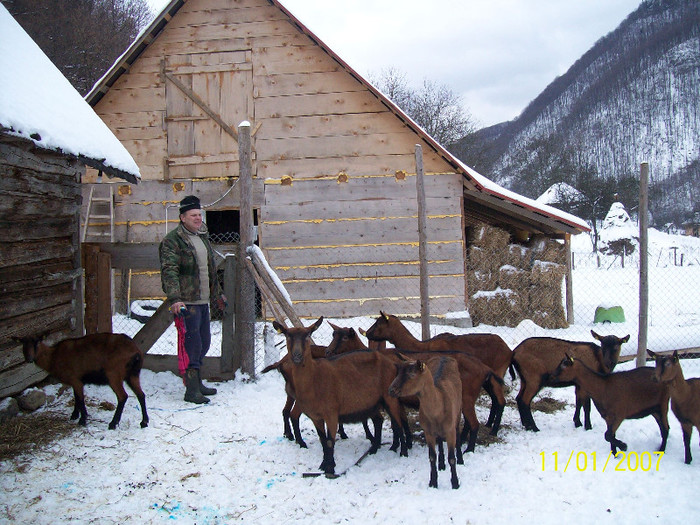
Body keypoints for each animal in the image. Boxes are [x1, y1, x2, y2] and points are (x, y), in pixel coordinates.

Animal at [14, 332, 148, 430]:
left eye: (37, 342)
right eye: (23, 344)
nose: (29, 359)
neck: (53, 356)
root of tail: (135, 352)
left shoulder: (75, 379)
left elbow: (80, 399)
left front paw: (82, 420)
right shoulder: (76, 381)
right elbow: (76, 398)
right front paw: (74, 415)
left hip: (114, 374)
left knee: (122, 396)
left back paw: (113, 424)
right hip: (133, 375)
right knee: (141, 395)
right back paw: (144, 422)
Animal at [272, 316, 408, 474]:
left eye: (308, 335)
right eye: (287, 335)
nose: (297, 356)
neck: (315, 379)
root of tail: (393, 364)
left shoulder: (331, 412)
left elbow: (330, 441)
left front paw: (330, 469)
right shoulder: (316, 416)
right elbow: (323, 440)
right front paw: (324, 465)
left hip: (389, 397)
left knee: (398, 423)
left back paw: (403, 452)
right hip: (372, 401)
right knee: (379, 420)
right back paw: (374, 449)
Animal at [392, 354, 462, 490]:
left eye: (412, 374)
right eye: (398, 372)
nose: (391, 390)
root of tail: (444, 356)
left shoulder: (450, 430)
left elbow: (452, 458)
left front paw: (455, 483)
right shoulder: (428, 431)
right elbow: (431, 457)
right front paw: (433, 482)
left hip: (459, 410)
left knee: (458, 430)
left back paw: (461, 459)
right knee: (439, 440)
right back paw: (441, 464)